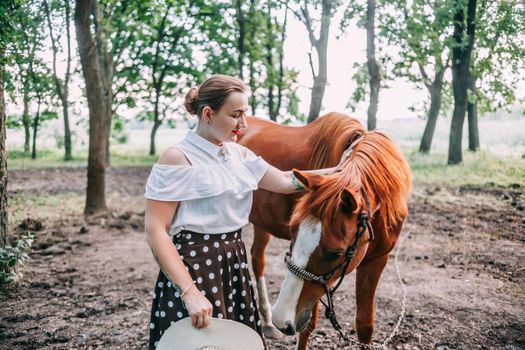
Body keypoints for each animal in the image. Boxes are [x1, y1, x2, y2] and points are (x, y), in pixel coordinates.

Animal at [237, 113, 410, 348]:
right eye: (293, 231)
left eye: (335, 254)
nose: (281, 319)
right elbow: (308, 325)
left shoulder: (376, 261)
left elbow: (365, 326)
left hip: (261, 222)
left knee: (257, 259)